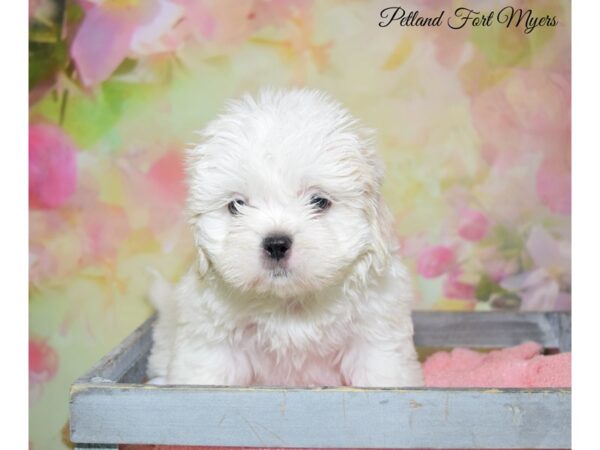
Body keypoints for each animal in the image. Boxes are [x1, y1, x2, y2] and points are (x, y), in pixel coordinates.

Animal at [148, 89, 424, 386]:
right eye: (237, 205)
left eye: (319, 201)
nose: (276, 244)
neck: (288, 303)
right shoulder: (211, 341)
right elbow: (203, 377)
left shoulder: (375, 335)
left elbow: (383, 376)